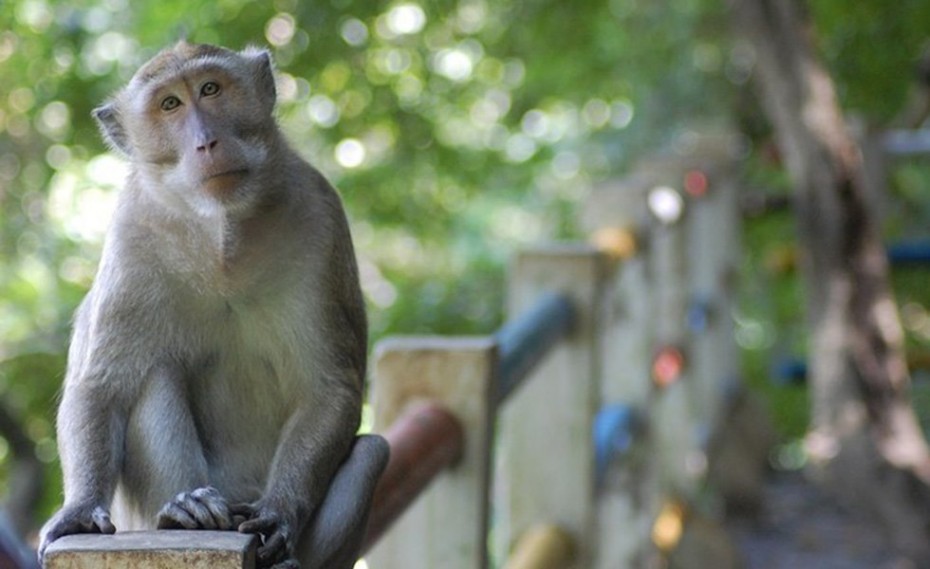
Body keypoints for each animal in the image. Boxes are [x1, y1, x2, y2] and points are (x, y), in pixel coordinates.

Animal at [39, 42, 388, 564]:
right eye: (170, 105)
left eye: (210, 89)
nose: (206, 142)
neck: (222, 234)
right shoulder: (131, 235)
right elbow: (101, 386)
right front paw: (78, 510)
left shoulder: (320, 216)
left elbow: (327, 389)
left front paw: (280, 512)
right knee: (153, 375)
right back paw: (186, 512)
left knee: (371, 453)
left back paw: (286, 558)